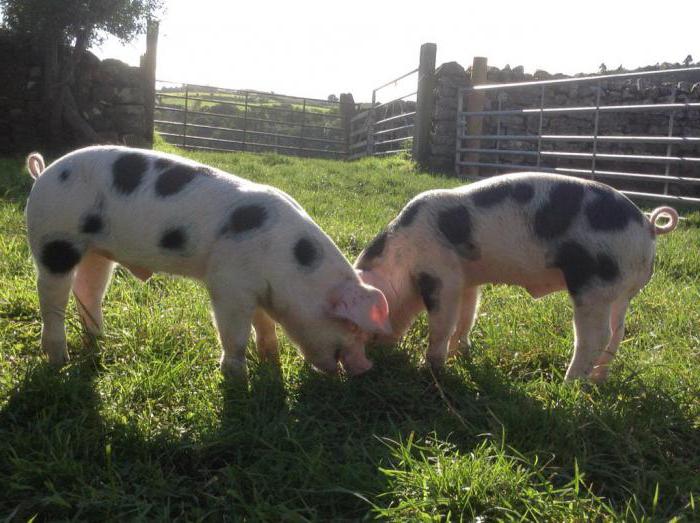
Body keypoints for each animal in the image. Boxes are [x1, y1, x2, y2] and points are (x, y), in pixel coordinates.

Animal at [356, 174, 680, 382]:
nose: (375, 358)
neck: (400, 261)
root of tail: (648, 225)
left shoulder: (440, 276)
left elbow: (442, 325)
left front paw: (432, 369)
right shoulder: (466, 279)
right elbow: (467, 315)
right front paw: (462, 354)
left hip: (594, 282)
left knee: (596, 336)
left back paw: (570, 384)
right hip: (622, 290)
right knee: (619, 332)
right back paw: (599, 380)